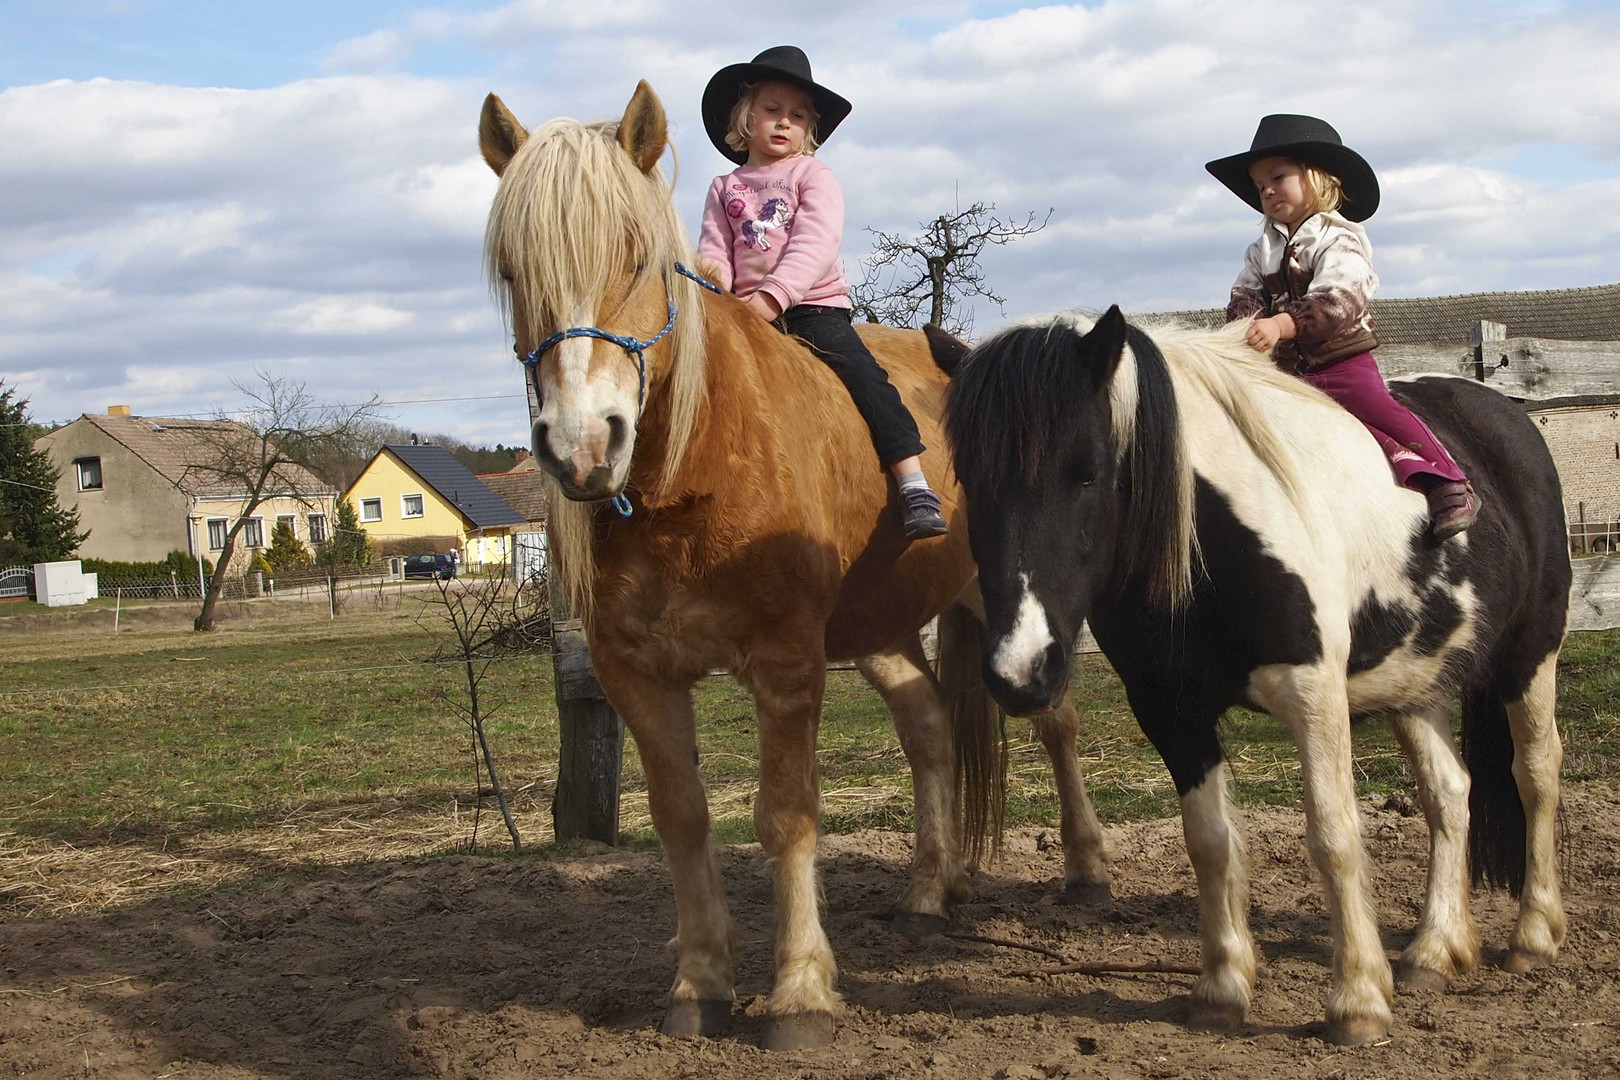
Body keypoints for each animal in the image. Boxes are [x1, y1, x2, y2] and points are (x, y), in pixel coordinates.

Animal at [476, 82, 1114, 1049]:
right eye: (514, 272)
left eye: (639, 257)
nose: (583, 447)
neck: (691, 476)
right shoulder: (636, 675)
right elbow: (683, 819)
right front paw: (700, 984)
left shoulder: (785, 663)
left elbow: (785, 816)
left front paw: (803, 993)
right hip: (880, 629)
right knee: (930, 728)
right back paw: (930, 891)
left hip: (1000, 605)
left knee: (1057, 723)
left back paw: (1085, 872)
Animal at [939, 310, 1568, 1049]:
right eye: (970, 480)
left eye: (1087, 474)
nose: (1020, 669)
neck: (1206, 537)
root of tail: (1507, 417)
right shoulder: (1169, 710)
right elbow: (1209, 841)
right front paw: (1222, 988)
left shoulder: (1313, 694)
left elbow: (1333, 835)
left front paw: (1357, 1000)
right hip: (1415, 681)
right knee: (1449, 793)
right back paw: (1435, 949)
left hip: (1530, 654)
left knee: (1536, 776)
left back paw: (1533, 934)